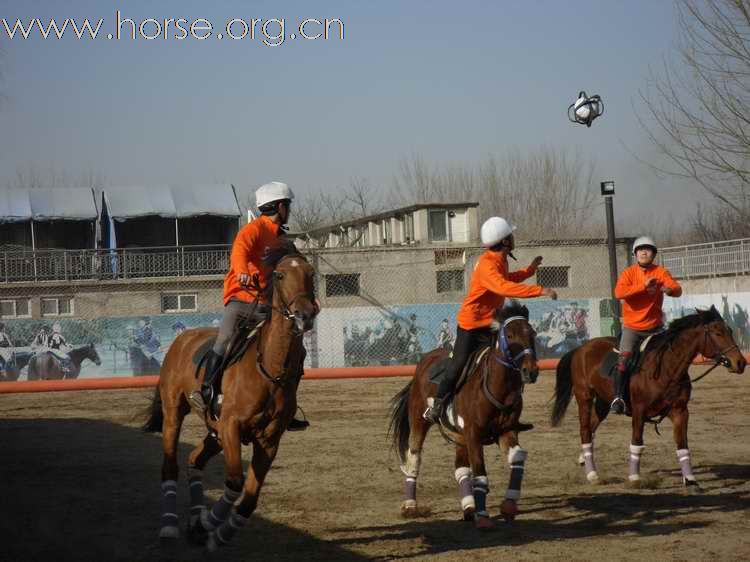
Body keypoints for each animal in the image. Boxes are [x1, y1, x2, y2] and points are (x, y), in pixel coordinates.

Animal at [143, 243, 318, 548]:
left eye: (310, 273)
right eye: (280, 275)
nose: (305, 315)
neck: (269, 368)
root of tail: (181, 340)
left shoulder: (268, 441)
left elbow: (249, 498)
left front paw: (217, 531)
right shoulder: (231, 426)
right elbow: (235, 481)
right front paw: (209, 523)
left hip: (214, 432)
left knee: (194, 462)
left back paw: (194, 521)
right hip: (175, 415)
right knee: (170, 466)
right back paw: (170, 526)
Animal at [388, 302, 540, 524]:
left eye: (533, 333)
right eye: (510, 335)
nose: (531, 371)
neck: (495, 387)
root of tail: (425, 360)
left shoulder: (506, 431)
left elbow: (517, 459)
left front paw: (509, 505)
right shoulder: (474, 434)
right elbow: (480, 473)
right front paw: (483, 517)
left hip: (459, 435)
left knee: (461, 468)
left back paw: (469, 507)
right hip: (419, 421)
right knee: (414, 458)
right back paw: (410, 506)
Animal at [552, 304, 748, 488]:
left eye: (730, 331)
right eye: (717, 333)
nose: (740, 362)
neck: (666, 369)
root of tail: (580, 348)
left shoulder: (680, 412)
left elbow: (683, 446)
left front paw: (690, 479)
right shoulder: (639, 411)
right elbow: (637, 443)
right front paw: (634, 478)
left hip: (603, 402)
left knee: (592, 426)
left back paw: (583, 459)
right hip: (584, 396)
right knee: (585, 430)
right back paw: (592, 474)